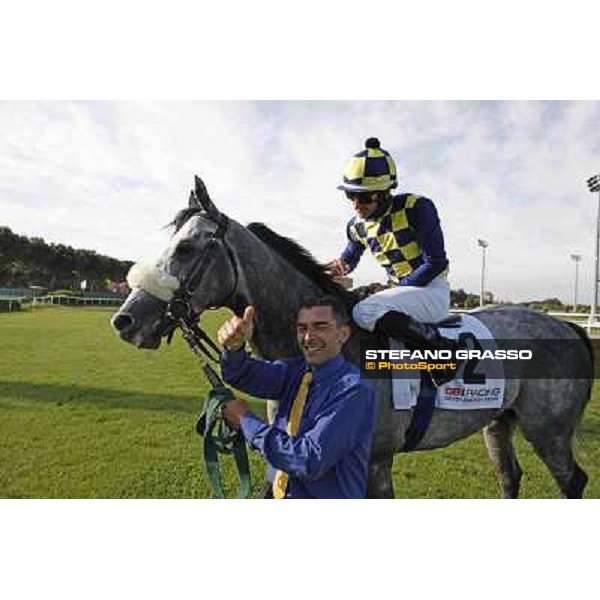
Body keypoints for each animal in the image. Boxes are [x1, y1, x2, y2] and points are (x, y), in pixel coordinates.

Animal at [110, 176, 592, 500]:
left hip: (548, 430)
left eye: (186, 249)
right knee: (510, 478)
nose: (125, 320)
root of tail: (567, 326)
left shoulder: (374, 463)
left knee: (574, 481)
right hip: (500, 422)